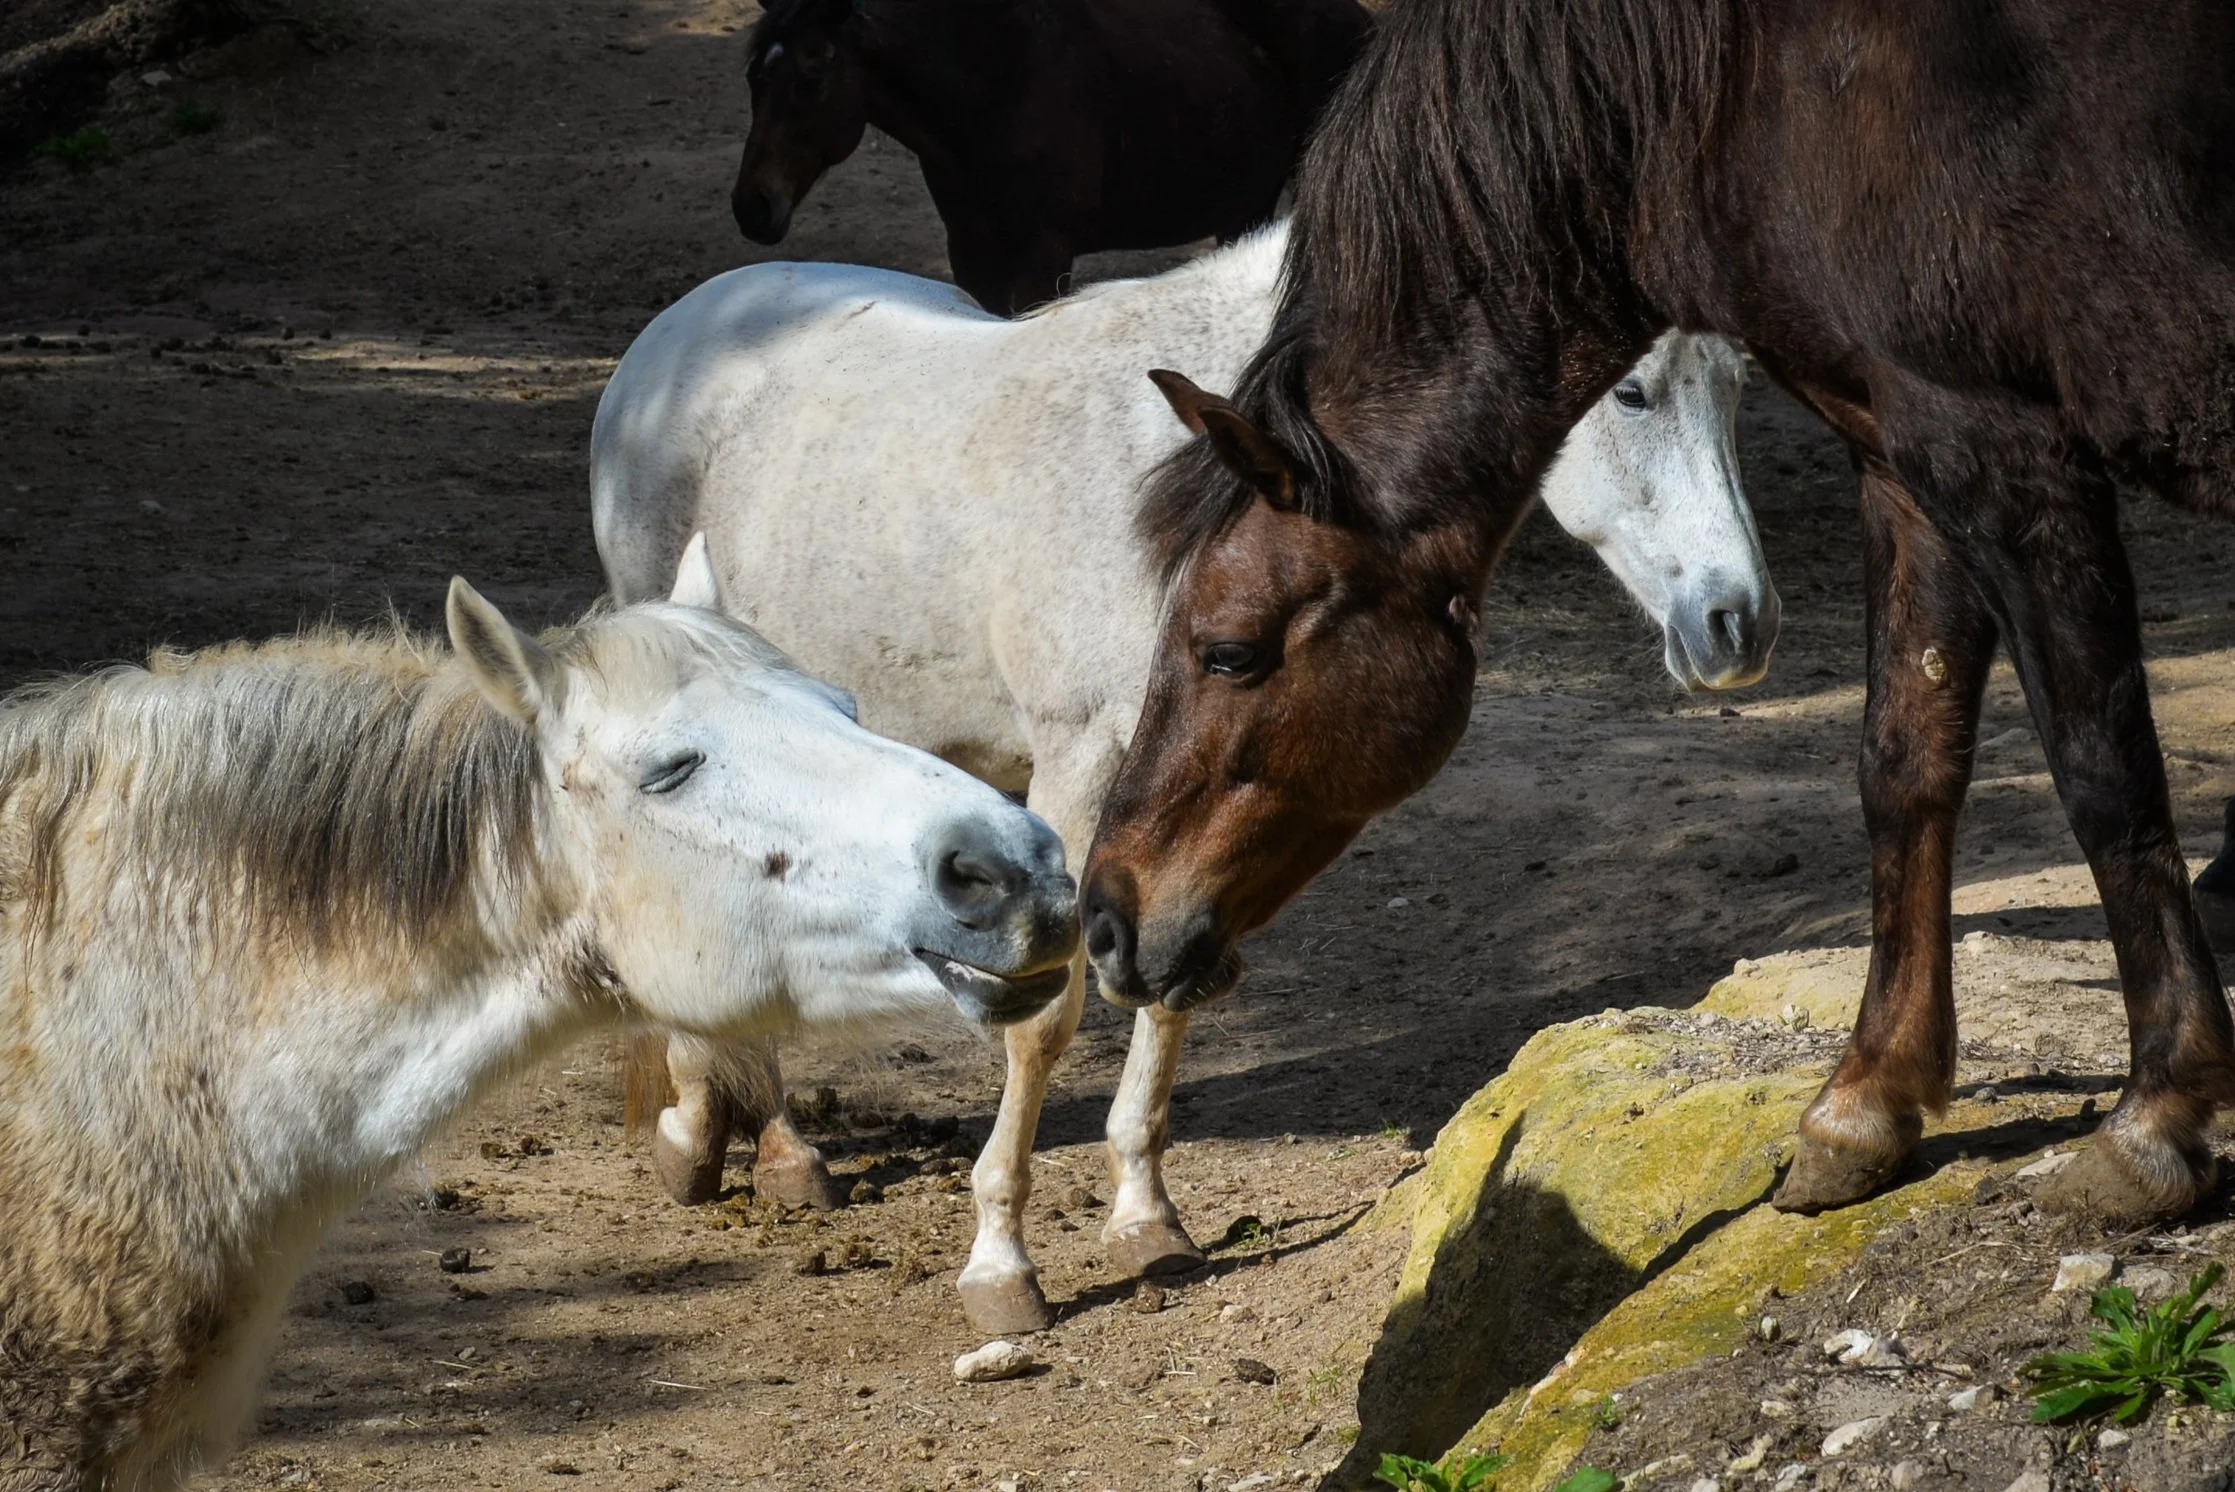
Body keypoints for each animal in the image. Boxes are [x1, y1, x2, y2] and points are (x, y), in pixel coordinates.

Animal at [590, 223, 1777, 1333]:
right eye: (1629, 390)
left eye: (1737, 386)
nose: (1738, 623)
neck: (1176, 500)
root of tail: (684, 327)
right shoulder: (1081, 777)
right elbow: (1048, 1019)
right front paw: (1001, 1267)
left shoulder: (1181, 826)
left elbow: (1167, 991)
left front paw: (1146, 1221)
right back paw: (734, 1139)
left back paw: (760, 1145)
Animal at [728, 0, 1371, 316]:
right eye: (754, 78)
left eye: (811, 78)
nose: (751, 208)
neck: (995, 90)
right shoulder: (974, 261)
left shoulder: (1043, 260)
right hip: (1245, 206)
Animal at [1077, 0, 2235, 1229]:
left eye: (1227, 651)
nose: (1104, 913)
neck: (1746, 98)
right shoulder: (1908, 458)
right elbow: (1904, 765)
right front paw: (1865, 1103)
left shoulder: (2005, 452)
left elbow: (2105, 774)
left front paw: (2159, 1118)